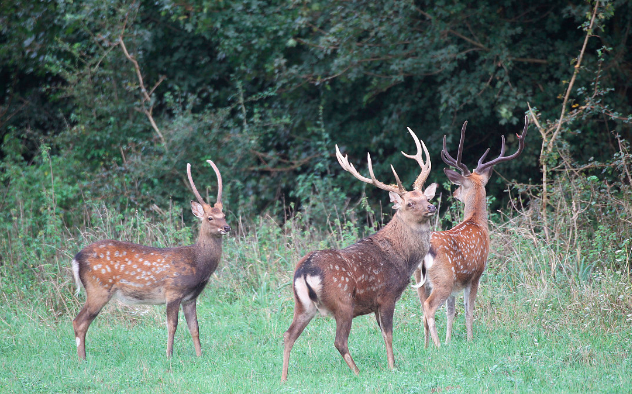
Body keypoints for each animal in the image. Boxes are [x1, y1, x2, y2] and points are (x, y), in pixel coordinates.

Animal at [72, 160, 230, 360]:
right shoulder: (173, 291)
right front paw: (169, 355)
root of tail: (76, 259)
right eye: (210, 217)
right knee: (79, 322)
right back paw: (83, 360)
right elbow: (172, 326)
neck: (198, 263)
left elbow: (195, 328)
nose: (226, 227)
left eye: (224, 215)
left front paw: (200, 356)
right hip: (98, 288)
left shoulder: (190, 298)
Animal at [282, 129, 440, 382]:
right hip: (343, 302)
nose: (431, 207)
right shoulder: (386, 295)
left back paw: (284, 378)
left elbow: (383, 334)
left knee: (288, 335)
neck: (401, 259)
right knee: (339, 341)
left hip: (303, 304)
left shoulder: (374, 304)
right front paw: (392, 367)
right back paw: (357, 372)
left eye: (426, 198)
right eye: (409, 203)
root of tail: (305, 271)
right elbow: (389, 334)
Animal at [414, 116, 528, 348]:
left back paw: (427, 346)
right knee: (429, 307)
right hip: (443, 279)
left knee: (423, 309)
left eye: (460, 186)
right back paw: (436, 347)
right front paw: (469, 339)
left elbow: (451, 312)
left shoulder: (457, 283)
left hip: (423, 281)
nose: (454, 192)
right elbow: (469, 309)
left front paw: (449, 341)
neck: (478, 223)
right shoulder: (476, 274)